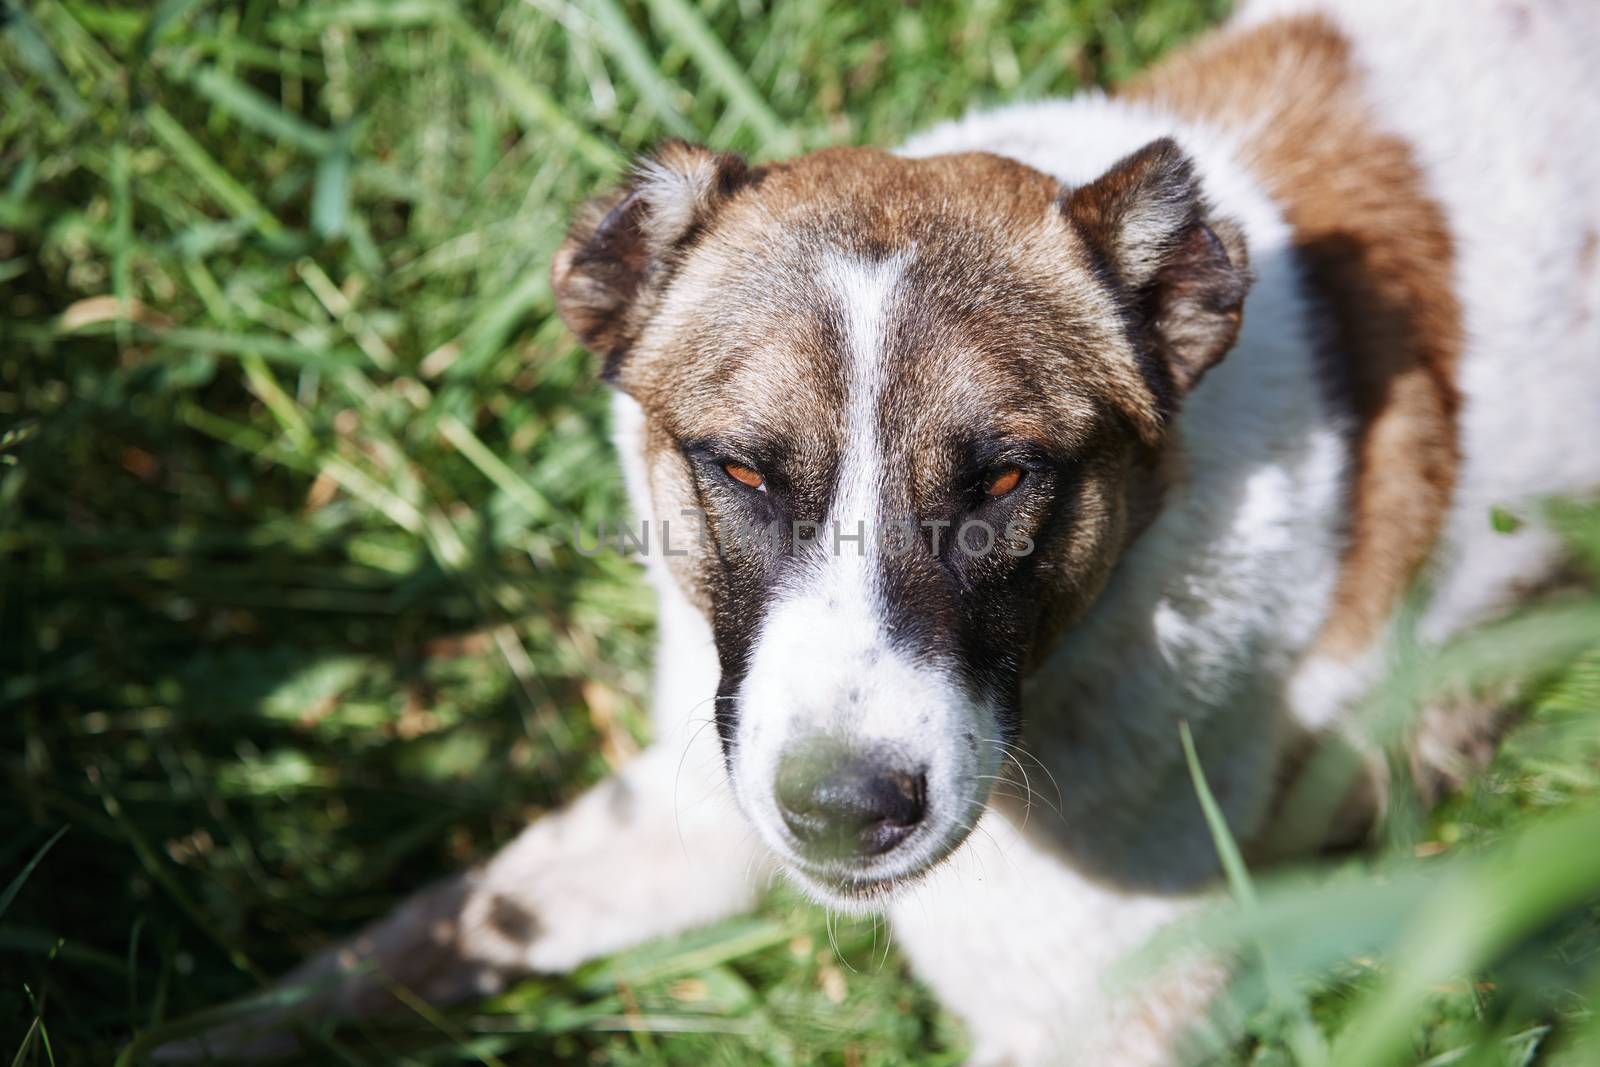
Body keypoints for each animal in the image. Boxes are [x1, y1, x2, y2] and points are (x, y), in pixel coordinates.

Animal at [175, 2, 1600, 1067]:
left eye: (1006, 478)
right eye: (741, 469)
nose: (841, 816)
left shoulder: (1089, 1020)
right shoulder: (687, 801)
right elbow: (421, 932)